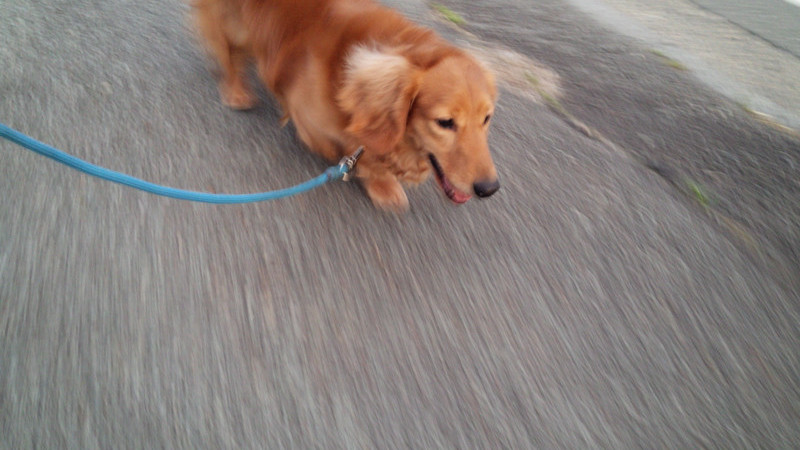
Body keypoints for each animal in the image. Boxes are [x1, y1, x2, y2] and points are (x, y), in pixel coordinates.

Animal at [192, 0, 499, 211]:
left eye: (486, 119)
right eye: (445, 122)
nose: (489, 188)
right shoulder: (307, 116)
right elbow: (344, 148)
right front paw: (374, 176)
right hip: (229, 21)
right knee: (226, 51)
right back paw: (236, 91)